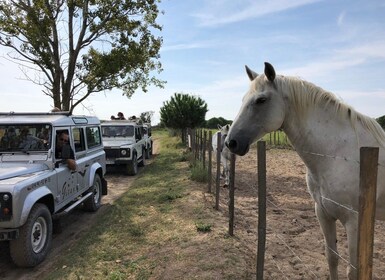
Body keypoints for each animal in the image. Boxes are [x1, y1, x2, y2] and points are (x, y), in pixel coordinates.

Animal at [225, 62, 384, 278]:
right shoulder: (323, 214)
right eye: (243, 99)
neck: (337, 154)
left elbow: (353, 272)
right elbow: (332, 258)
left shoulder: (354, 222)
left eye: (261, 100)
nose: (231, 142)